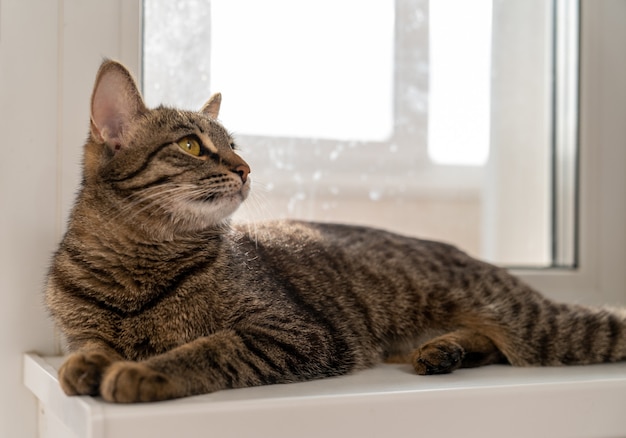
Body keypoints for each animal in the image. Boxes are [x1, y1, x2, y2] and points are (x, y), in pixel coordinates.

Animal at [45, 59, 624, 404]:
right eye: (191, 145)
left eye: (233, 144)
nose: (245, 168)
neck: (136, 268)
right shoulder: (81, 328)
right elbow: (89, 345)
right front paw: (88, 364)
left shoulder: (293, 333)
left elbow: (206, 349)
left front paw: (142, 370)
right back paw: (444, 351)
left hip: (545, 329)